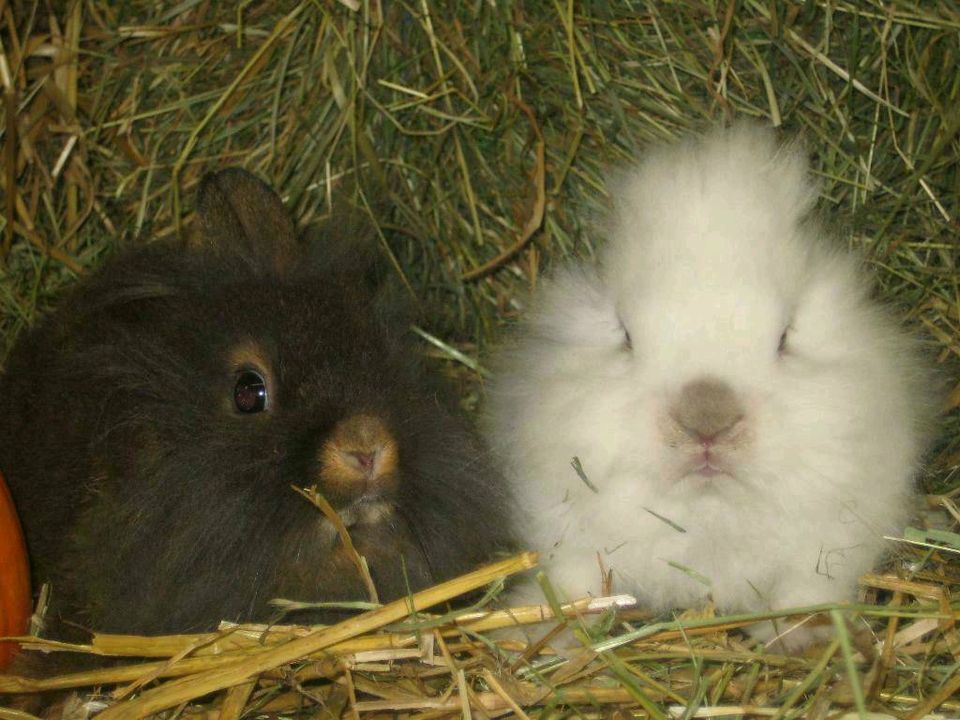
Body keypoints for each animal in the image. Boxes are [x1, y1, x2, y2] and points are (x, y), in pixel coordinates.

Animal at [488, 124, 936, 652]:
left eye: (785, 337)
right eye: (626, 336)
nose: (707, 422)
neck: (709, 518)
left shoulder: (830, 543)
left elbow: (804, 591)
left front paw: (810, 637)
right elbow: (575, 587)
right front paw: (534, 631)